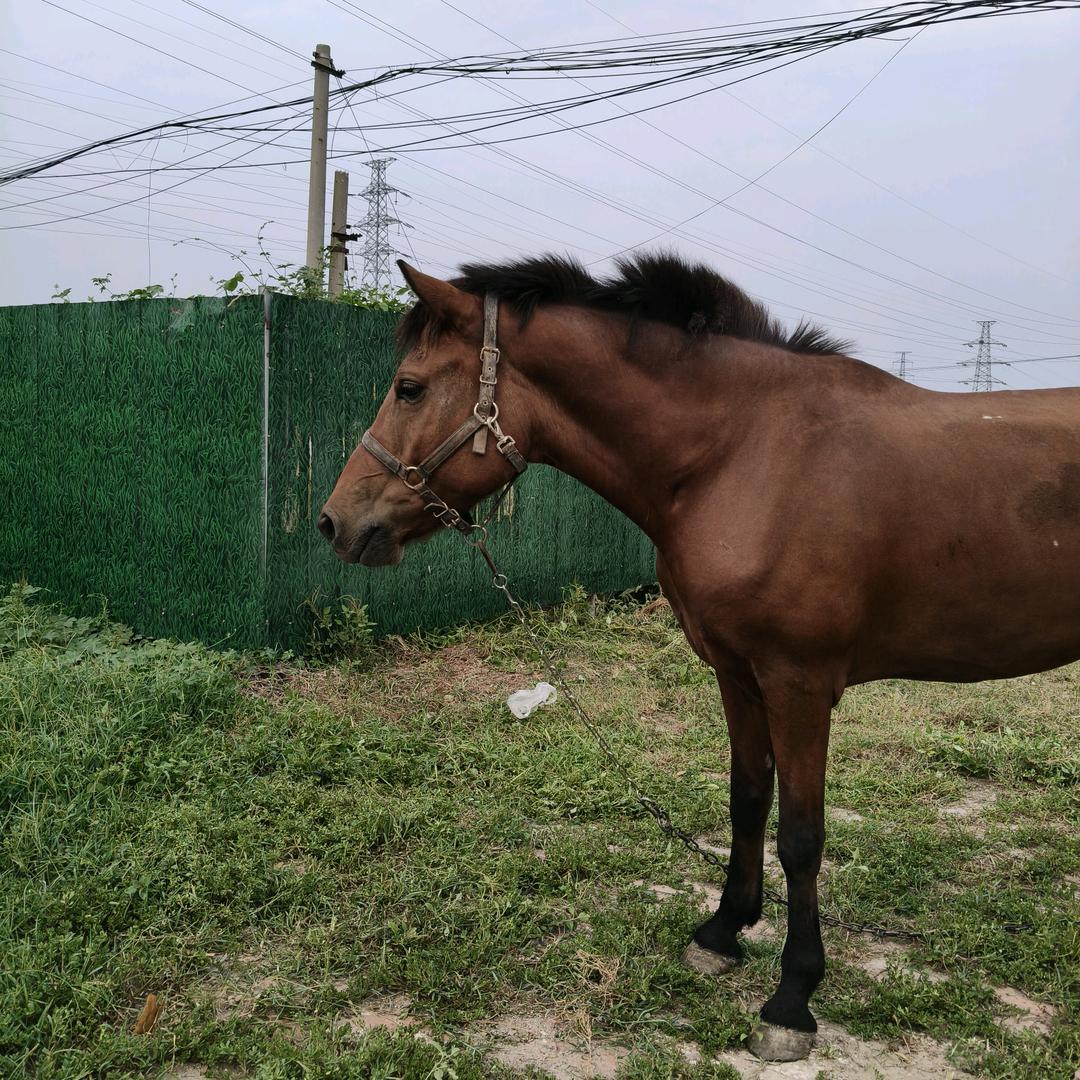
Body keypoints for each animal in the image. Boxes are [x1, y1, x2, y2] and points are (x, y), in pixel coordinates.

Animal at [318, 252, 1080, 1062]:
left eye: (410, 387)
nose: (335, 521)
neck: (746, 453)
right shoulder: (738, 675)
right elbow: (747, 800)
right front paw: (723, 932)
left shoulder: (798, 685)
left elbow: (801, 836)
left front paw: (793, 997)